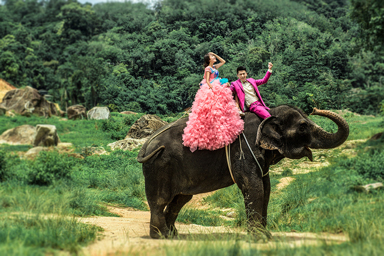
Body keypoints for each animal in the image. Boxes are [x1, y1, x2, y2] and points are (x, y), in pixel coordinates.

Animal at [137, 105, 348, 239]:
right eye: (303, 127)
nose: (315, 108)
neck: (269, 114)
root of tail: (146, 144)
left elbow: (266, 188)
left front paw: (267, 235)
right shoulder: (244, 151)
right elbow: (254, 187)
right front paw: (259, 238)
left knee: (180, 199)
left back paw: (173, 235)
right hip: (160, 165)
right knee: (160, 200)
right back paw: (161, 236)